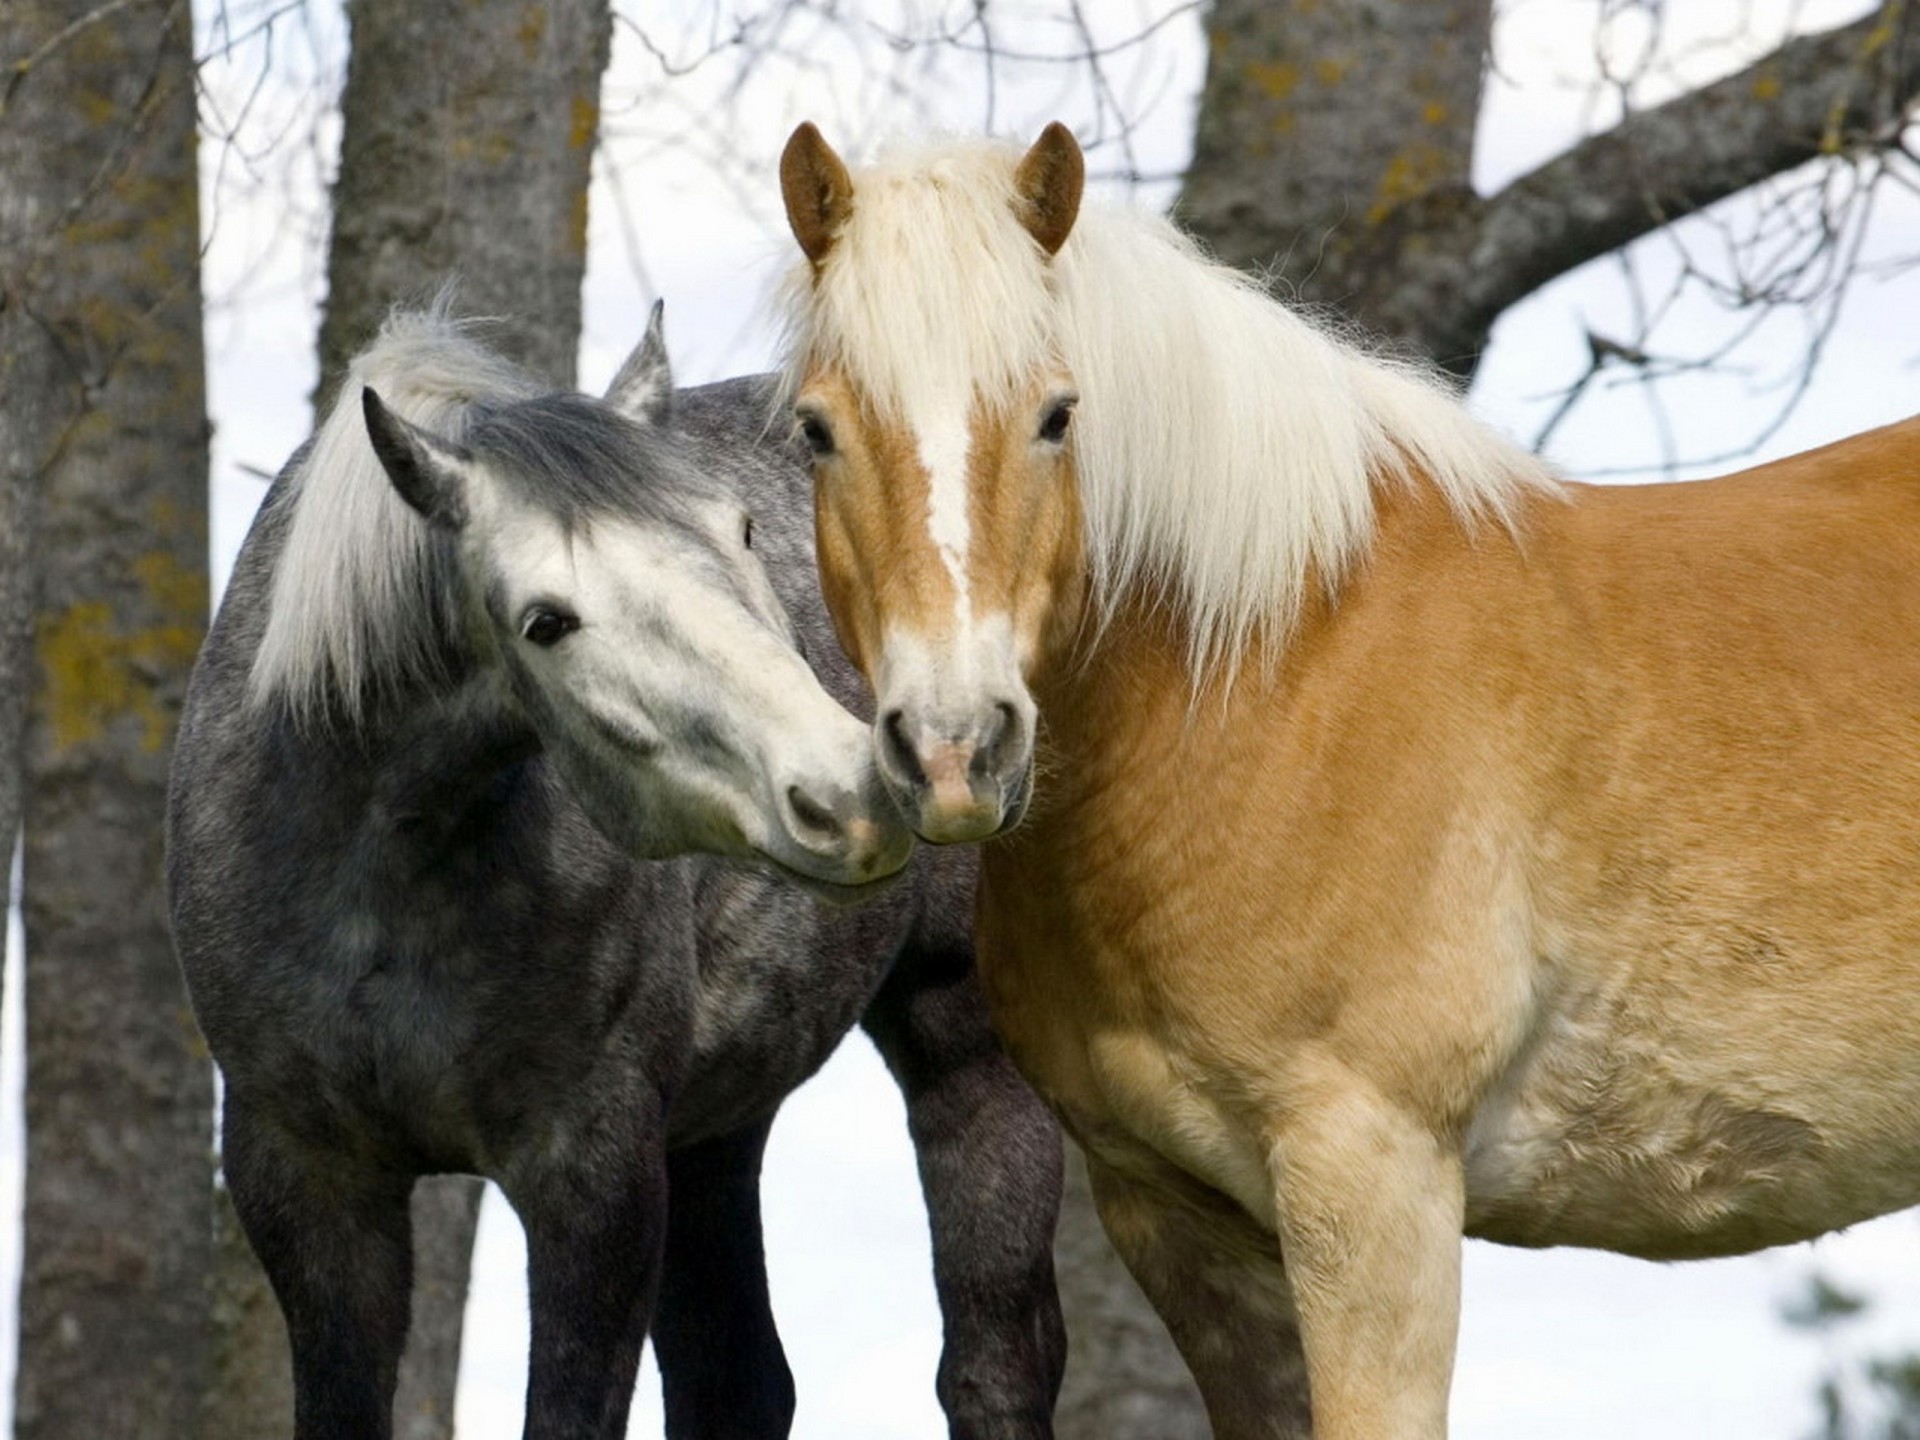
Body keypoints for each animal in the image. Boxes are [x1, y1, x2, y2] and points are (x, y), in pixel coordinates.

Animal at [166, 303, 1066, 1440]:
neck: (382, 872)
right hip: (718, 1123)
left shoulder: (591, 1175)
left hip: (967, 1053)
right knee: (739, 1378)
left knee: (993, 1367)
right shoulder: (307, 1181)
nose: (852, 793)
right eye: (545, 621)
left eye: (743, 533)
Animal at [771, 121, 1920, 1439]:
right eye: (817, 431)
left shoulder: (1372, 1181)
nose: (957, 746)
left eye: (1058, 415)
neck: (1273, 676)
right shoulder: (1180, 1222)